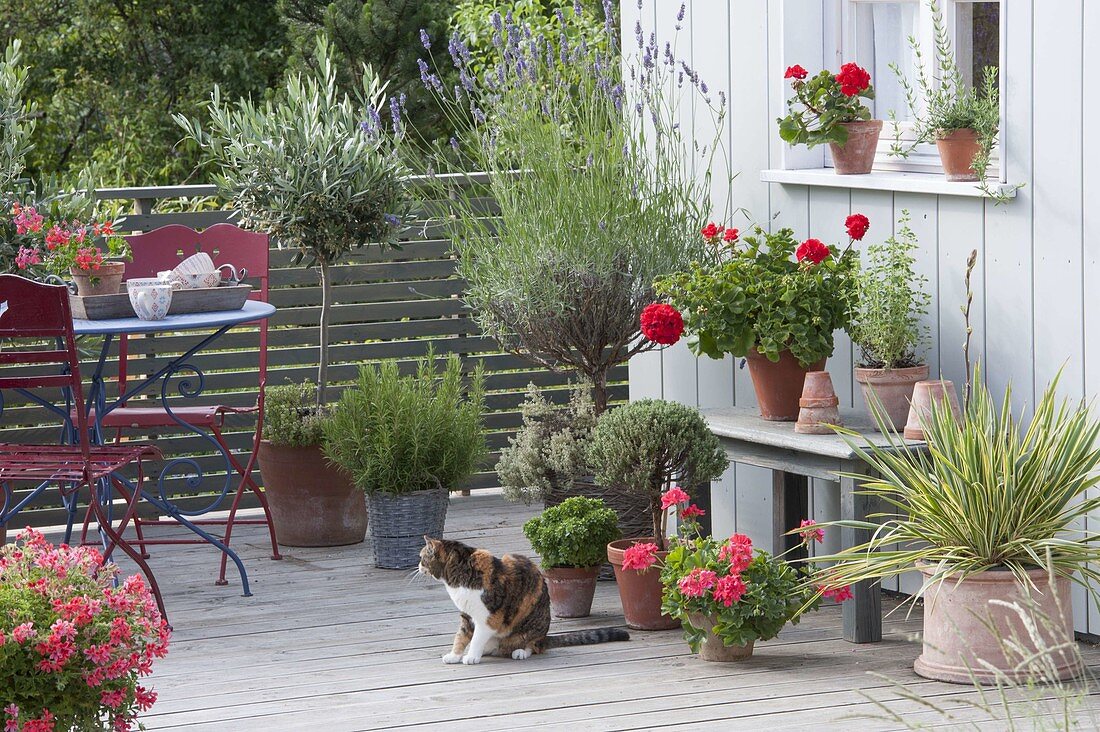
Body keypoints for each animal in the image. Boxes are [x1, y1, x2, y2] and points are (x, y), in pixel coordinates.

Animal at [418, 534, 633, 664]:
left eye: (422, 557)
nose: (418, 566)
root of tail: (544, 637)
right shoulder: (466, 615)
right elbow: (461, 636)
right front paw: (455, 655)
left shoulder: (488, 618)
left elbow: (477, 636)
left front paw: (471, 656)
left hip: (532, 627)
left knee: (533, 646)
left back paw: (520, 651)